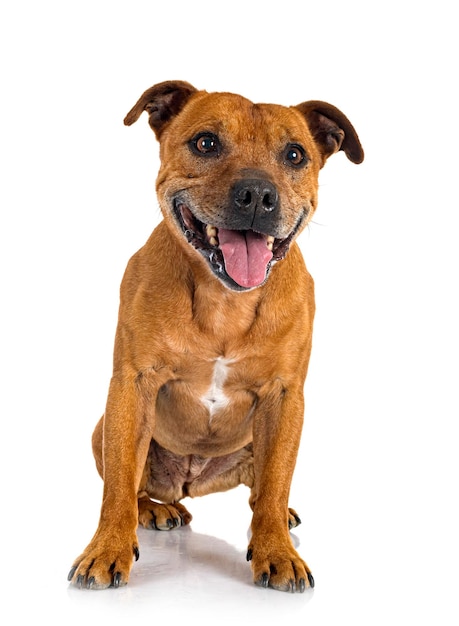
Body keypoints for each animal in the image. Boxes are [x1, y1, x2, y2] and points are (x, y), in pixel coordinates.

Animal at [67, 81, 362, 588]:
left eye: (295, 154)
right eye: (206, 142)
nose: (258, 193)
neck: (225, 300)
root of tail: (192, 480)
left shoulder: (285, 396)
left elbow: (276, 480)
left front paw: (276, 550)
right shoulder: (132, 384)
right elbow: (118, 484)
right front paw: (106, 549)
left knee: (265, 489)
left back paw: (280, 516)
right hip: (103, 429)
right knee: (132, 486)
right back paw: (153, 510)